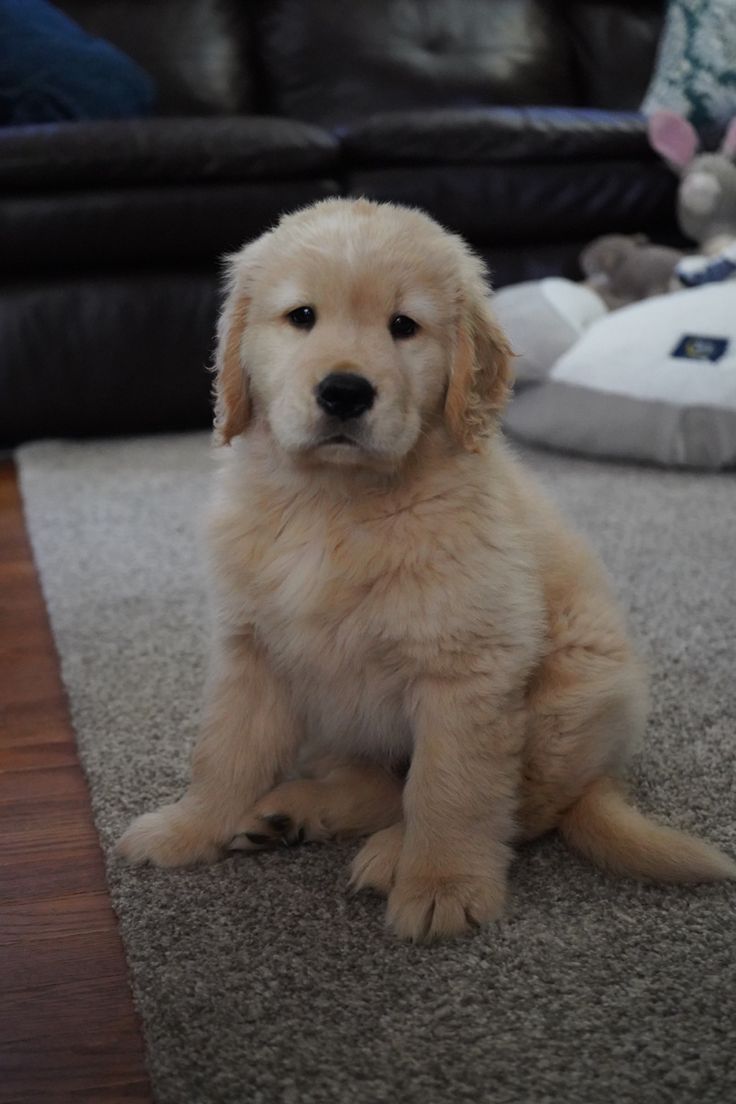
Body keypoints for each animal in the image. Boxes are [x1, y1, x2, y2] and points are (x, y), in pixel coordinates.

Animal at [116, 198, 736, 940]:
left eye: (403, 326)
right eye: (301, 316)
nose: (345, 392)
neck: (336, 505)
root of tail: (603, 775)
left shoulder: (466, 669)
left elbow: (451, 789)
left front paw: (443, 883)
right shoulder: (253, 648)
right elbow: (224, 752)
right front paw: (188, 828)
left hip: (571, 695)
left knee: (523, 806)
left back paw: (391, 852)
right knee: (382, 781)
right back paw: (291, 812)